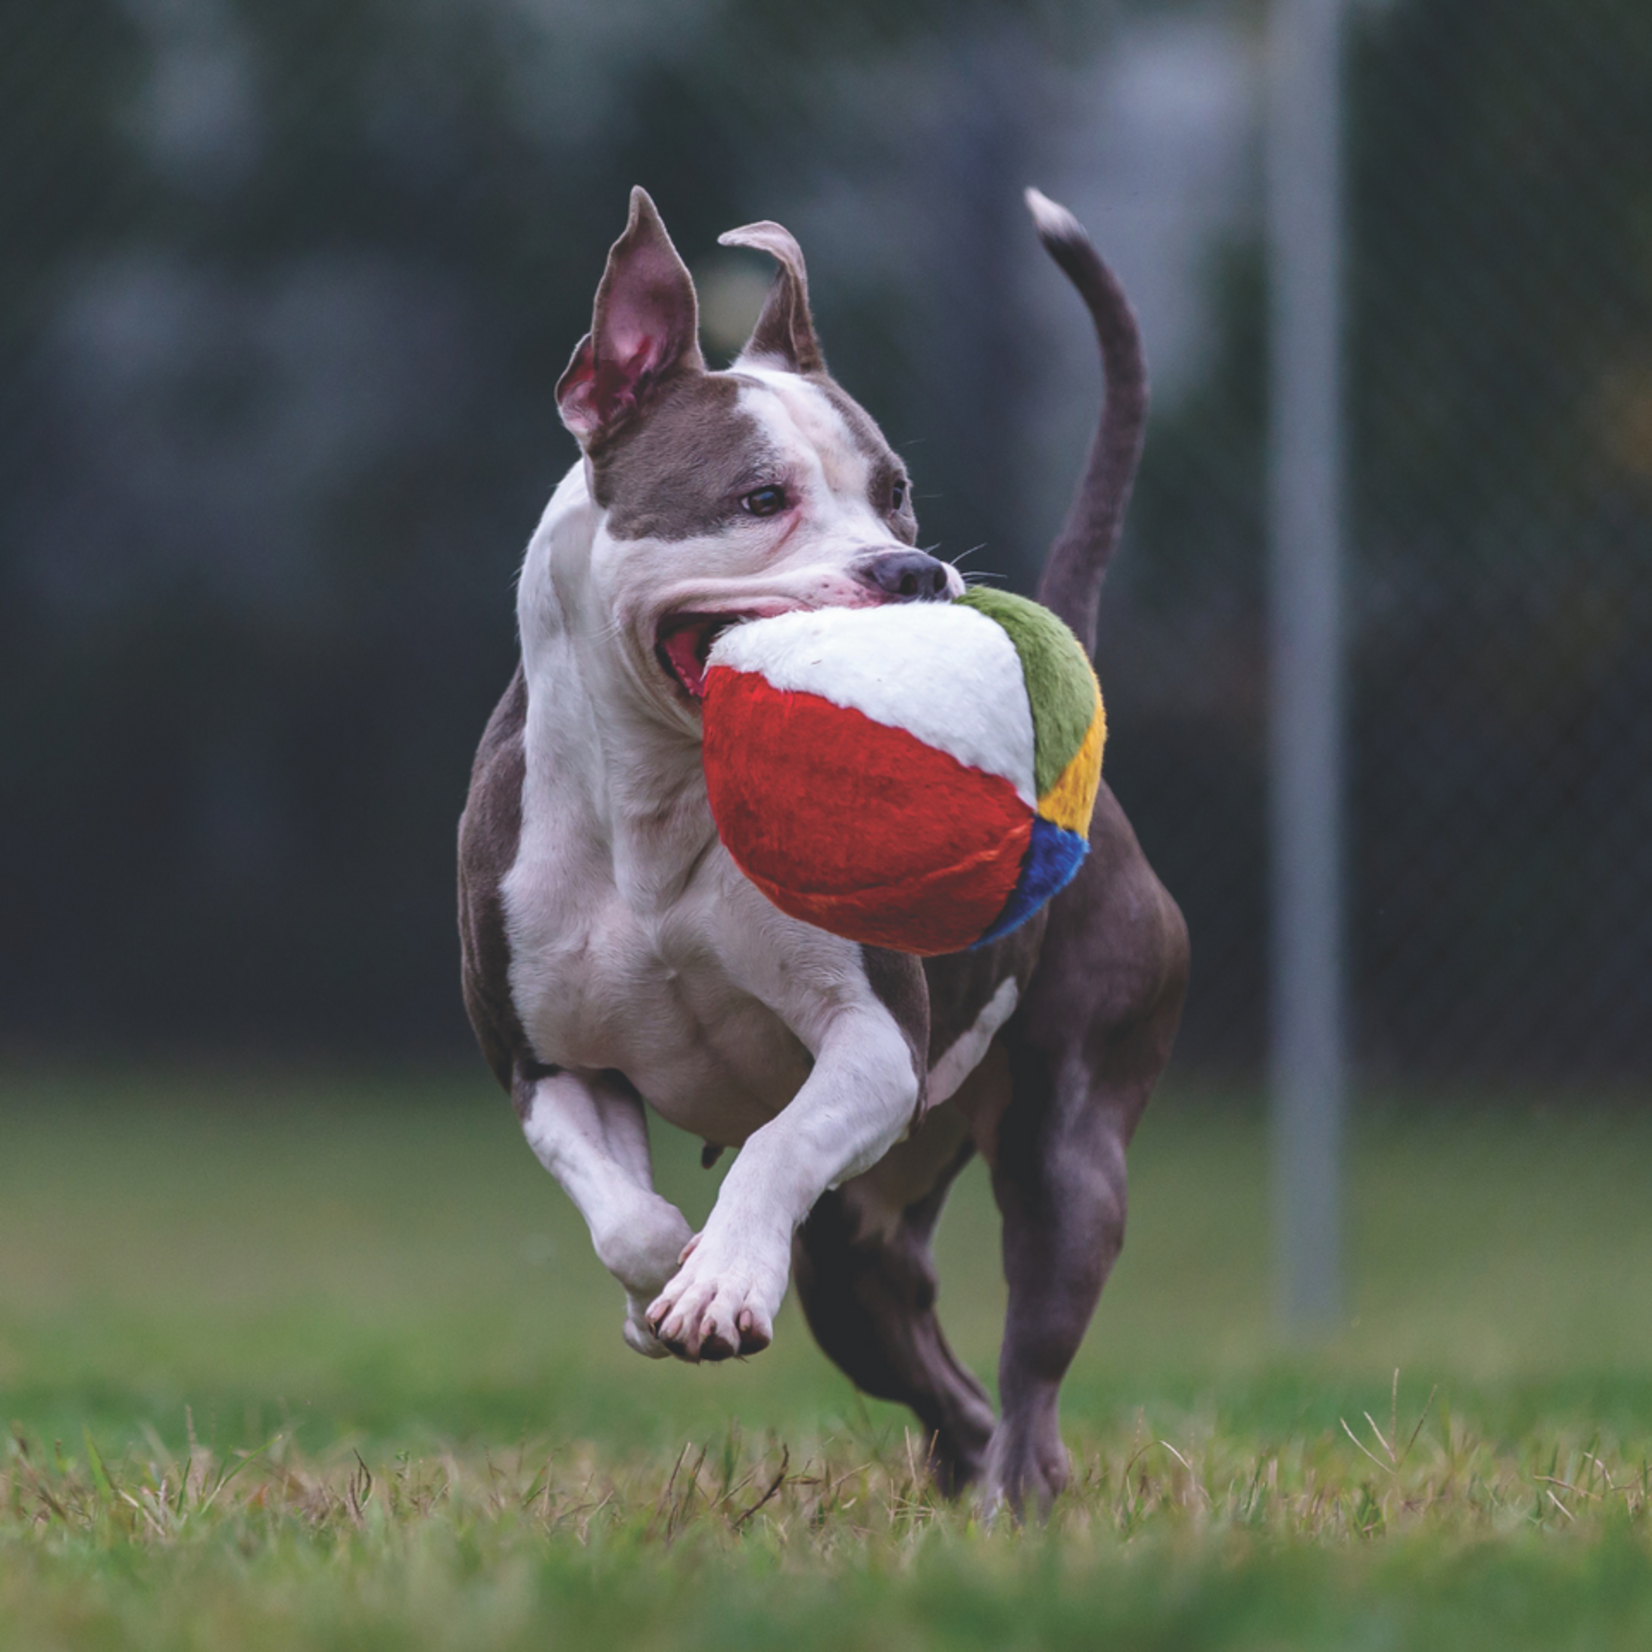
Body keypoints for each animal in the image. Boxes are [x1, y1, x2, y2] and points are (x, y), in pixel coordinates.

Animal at [459, 187, 1189, 1513]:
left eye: (896, 492)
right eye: (759, 498)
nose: (913, 566)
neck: (658, 794)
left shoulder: (871, 1041)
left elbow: (776, 1138)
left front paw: (717, 1275)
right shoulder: (548, 1063)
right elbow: (623, 1216)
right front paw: (667, 1281)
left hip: (1066, 1143)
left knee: (1030, 1358)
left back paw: (1016, 1490)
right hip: (858, 1256)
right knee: (935, 1370)